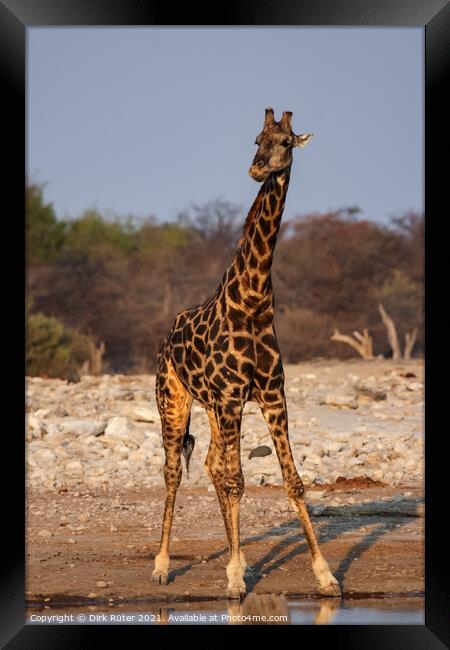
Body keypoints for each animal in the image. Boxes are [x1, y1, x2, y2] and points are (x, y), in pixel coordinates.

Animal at [151, 106, 342, 596]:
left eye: (286, 142)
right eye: (256, 139)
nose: (257, 168)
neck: (254, 301)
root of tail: (164, 340)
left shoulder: (271, 395)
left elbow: (293, 482)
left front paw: (325, 575)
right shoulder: (234, 396)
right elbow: (238, 481)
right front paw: (235, 577)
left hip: (214, 408)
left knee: (213, 465)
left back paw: (237, 558)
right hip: (174, 401)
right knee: (175, 472)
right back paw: (161, 565)